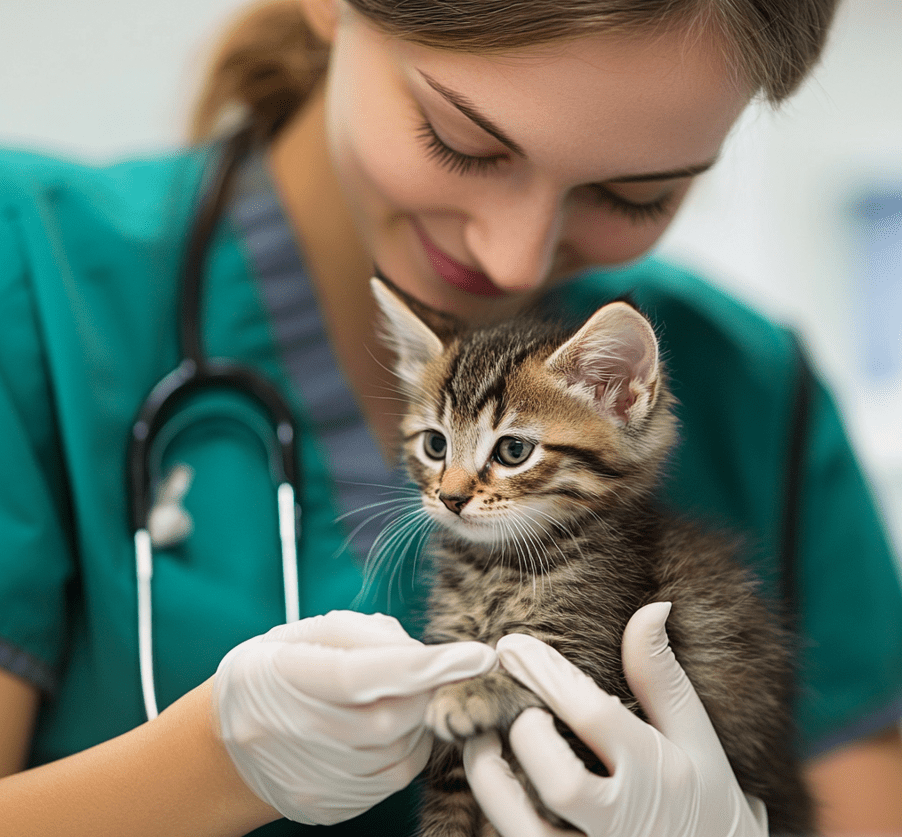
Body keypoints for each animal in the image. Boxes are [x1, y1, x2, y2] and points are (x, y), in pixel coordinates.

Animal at [370, 280, 816, 836]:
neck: (496, 568)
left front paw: (475, 691)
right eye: (435, 445)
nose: (450, 498)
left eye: (512, 451)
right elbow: (444, 813)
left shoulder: (602, 663)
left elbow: (544, 676)